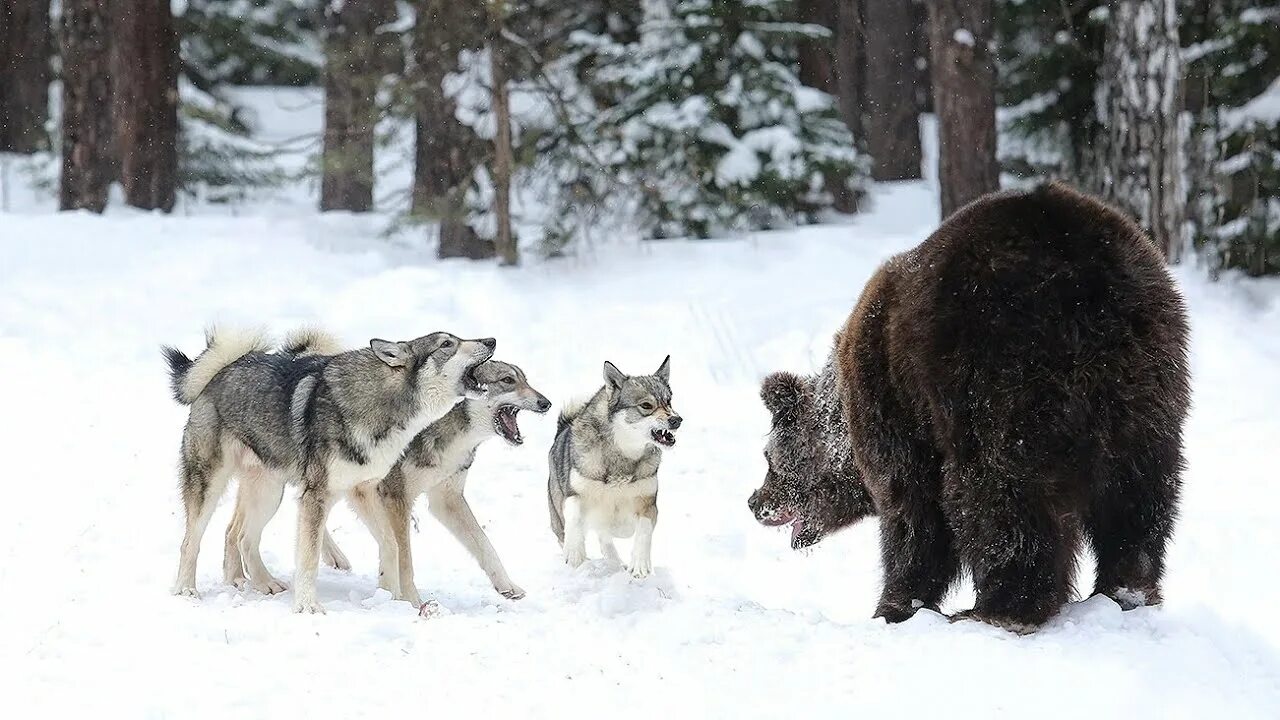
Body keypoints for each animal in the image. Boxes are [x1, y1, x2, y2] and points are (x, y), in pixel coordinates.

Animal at [166, 325, 494, 609]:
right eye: (447, 344)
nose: (491, 340)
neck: (381, 406)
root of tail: (223, 368)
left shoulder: (363, 490)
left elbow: (392, 544)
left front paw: (390, 597)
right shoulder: (317, 496)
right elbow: (309, 558)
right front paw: (308, 607)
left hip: (269, 492)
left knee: (242, 536)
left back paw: (262, 583)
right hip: (211, 485)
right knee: (190, 541)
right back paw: (186, 590)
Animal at [545, 353, 680, 576]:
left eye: (668, 402)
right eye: (646, 406)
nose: (677, 420)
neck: (621, 453)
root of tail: (562, 428)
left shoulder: (648, 504)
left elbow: (642, 531)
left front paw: (640, 565)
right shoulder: (574, 494)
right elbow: (575, 517)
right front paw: (574, 553)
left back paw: (616, 562)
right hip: (557, 518)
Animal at [747, 181, 1187, 630]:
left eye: (769, 459)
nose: (755, 503)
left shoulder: (896, 408)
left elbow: (913, 514)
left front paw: (895, 606)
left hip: (997, 376)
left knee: (1002, 493)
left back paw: (997, 609)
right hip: (1146, 386)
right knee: (1138, 493)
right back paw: (1128, 591)